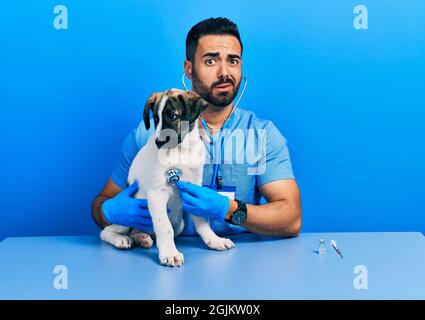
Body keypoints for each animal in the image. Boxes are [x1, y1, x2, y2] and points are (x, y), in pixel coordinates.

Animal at [101, 89, 237, 266]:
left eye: (172, 116)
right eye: (155, 118)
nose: (159, 143)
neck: (182, 150)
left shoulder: (194, 189)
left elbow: (201, 219)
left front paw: (213, 239)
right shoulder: (157, 193)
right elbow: (164, 227)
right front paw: (170, 253)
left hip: (180, 223)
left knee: (140, 231)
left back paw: (142, 237)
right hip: (123, 219)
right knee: (106, 230)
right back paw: (121, 240)